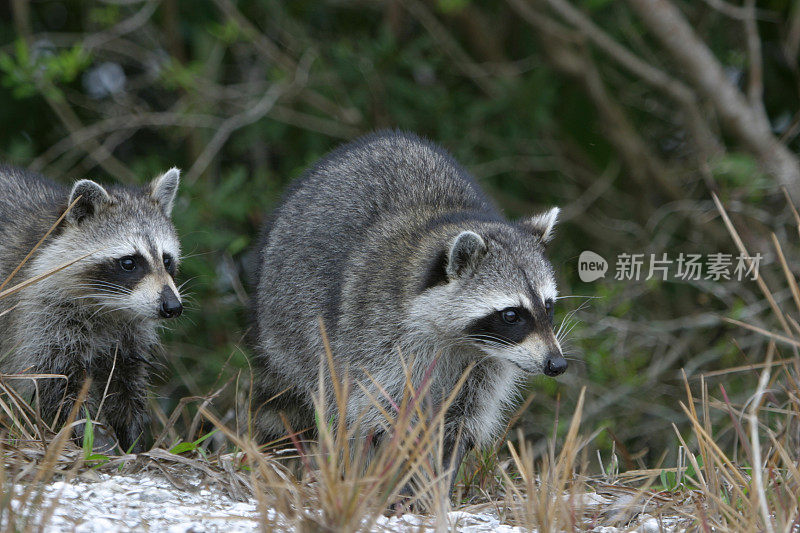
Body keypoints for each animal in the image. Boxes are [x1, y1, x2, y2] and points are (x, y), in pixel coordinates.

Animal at [0, 164, 183, 450]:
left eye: (167, 260)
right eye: (129, 262)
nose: (172, 307)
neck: (109, 308)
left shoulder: (129, 333)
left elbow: (124, 383)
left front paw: (132, 439)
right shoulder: (37, 315)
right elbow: (57, 383)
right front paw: (90, 438)